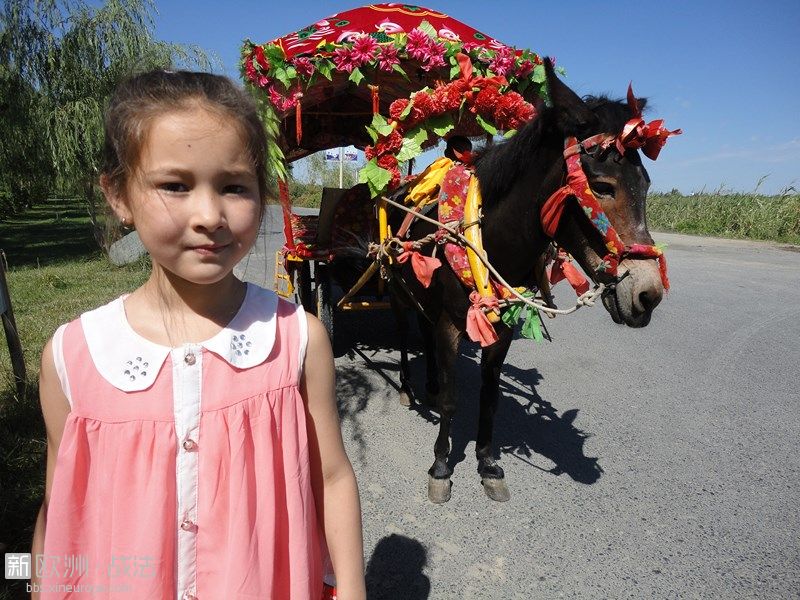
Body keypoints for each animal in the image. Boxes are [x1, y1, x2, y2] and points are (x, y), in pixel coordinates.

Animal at [388, 61, 668, 502]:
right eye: (602, 186)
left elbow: (489, 400)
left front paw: (488, 464)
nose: (648, 295)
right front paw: (441, 466)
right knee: (404, 332)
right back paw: (407, 386)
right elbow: (452, 403)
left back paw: (429, 381)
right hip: (397, 290)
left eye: (646, 186)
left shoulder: (501, 330)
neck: (485, 237)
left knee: (424, 330)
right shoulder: (453, 325)